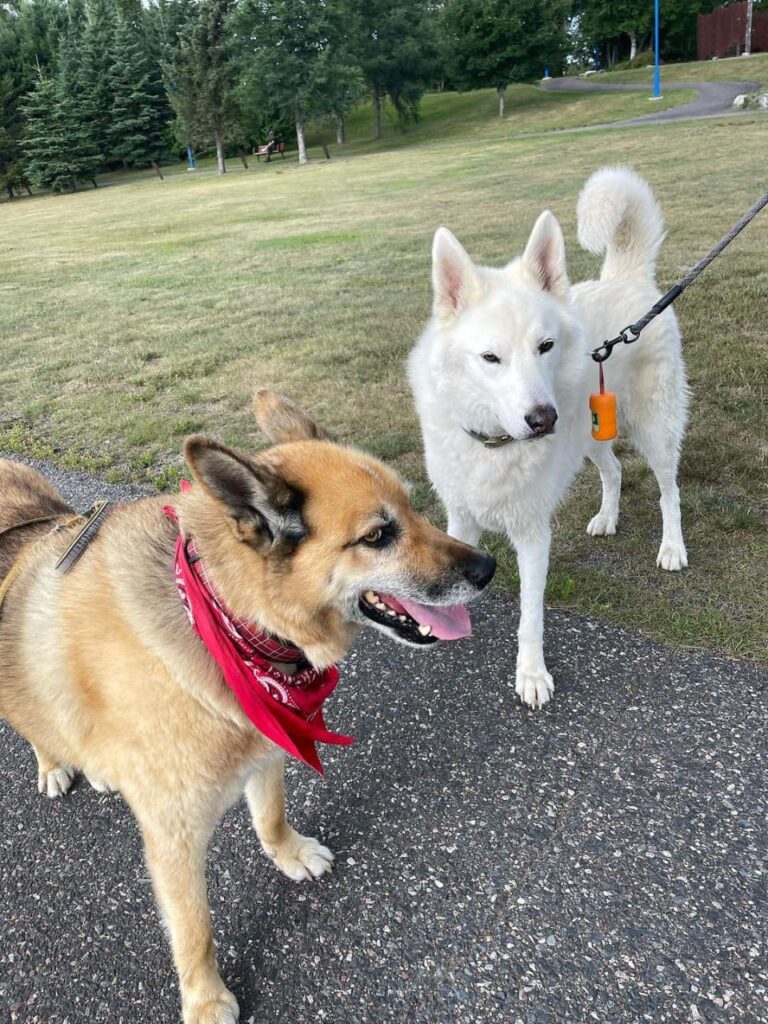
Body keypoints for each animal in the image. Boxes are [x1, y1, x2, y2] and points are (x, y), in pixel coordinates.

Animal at [0, 391, 493, 1024]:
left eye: (413, 507)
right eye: (378, 535)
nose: (488, 569)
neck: (226, 619)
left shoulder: (266, 748)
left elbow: (271, 814)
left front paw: (289, 853)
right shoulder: (174, 838)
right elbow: (195, 930)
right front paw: (206, 999)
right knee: (36, 725)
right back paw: (54, 764)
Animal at [409, 169, 692, 712]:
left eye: (545, 346)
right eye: (490, 357)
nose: (543, 419)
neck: (494, 443)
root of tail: (627, 279)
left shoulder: (533, 535)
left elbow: (530, 618)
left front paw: (532, 675)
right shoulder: (462, 517)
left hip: (656, 429)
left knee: (669, 491)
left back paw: (672, 547)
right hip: (592, 434)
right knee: (615, 471)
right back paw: (606, 518)